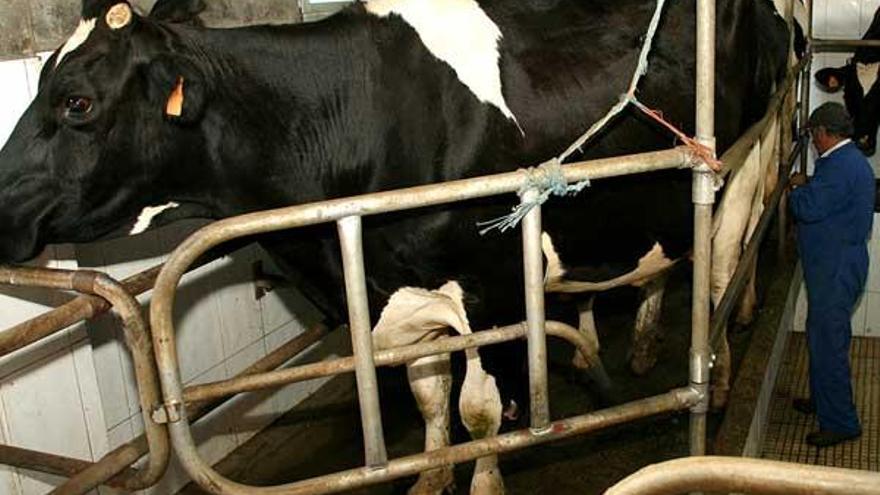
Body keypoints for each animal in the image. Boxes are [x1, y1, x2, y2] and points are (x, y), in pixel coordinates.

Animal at [0, 0, 792, 492]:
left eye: (75, 102)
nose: (1, 205)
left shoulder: (491, 286)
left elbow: (482, 411)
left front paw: (482, 479)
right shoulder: (398, 295)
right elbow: (430, 396)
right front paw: (432, 474)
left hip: (738, 165)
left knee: (726, 267)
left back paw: (720, 373)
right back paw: (641, 341)